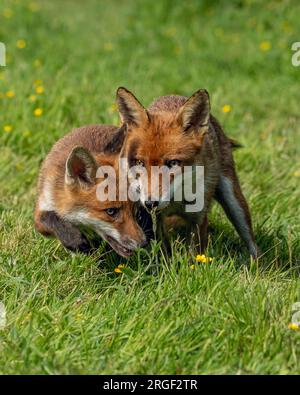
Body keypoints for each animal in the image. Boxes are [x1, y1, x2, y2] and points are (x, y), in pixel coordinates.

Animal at [34, 124, 150, 260]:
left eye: (134, 209)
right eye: (111, 211)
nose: (144, 243)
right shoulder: (43, 207)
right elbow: (50, 218)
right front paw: (74, 240)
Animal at [115, 87, 260, 260]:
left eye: (173, 163)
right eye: (139, 163)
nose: (150, 203)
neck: (177, 200)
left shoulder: (198, 219)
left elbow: (195, 257)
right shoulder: (156, 219)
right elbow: (165, 253)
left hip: (234, 202)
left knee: (252, 242)